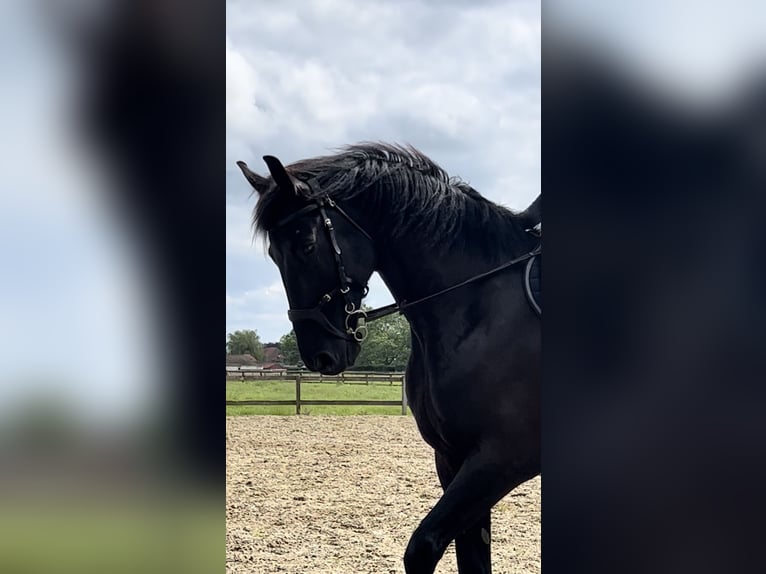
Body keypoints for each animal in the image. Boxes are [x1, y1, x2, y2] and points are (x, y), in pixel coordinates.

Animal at [238, 142, 541, 574]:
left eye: (307, 245)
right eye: (273, 253)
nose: (320, 356)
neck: (476, 307)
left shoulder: (503, 457)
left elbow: (423, 546)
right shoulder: (454, 458)